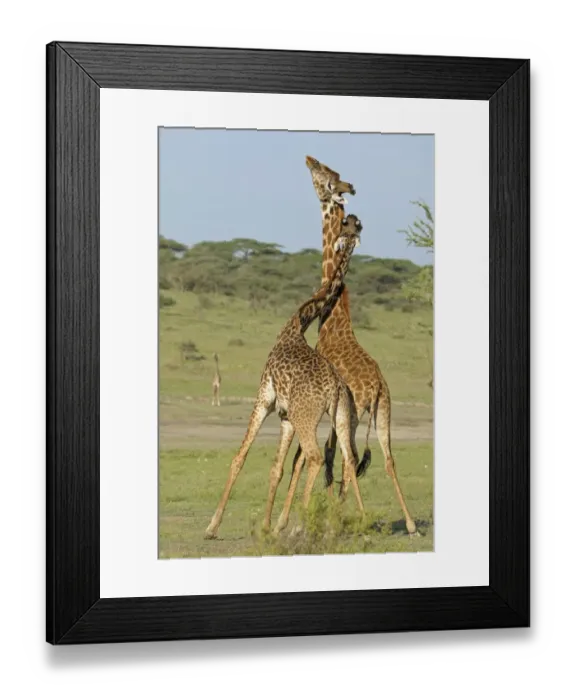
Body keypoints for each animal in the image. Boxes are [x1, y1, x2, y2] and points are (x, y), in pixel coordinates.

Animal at [205, 216, 365, 540]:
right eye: (349, 222)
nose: (351, 227)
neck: (298, 322)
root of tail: (333, 388)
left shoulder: (264, 399)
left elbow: (240, 457)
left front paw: (212, 526)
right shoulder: (286, 416)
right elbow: (277, 468)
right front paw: (266, 526)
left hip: (307, 418)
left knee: (316, 458)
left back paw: (302, 527)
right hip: (341, 417)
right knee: (349, 458)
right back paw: (353, 522)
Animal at [299, 155, 418, 536]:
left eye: (324, 173)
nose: (308, 159)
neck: (333, 316)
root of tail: (377, 386)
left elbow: (331, 455)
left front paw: (331, 514)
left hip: (354, 412)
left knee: (349, 457)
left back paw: (355, 516)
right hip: (384, 411)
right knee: (388, 458)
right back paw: (410, 523)